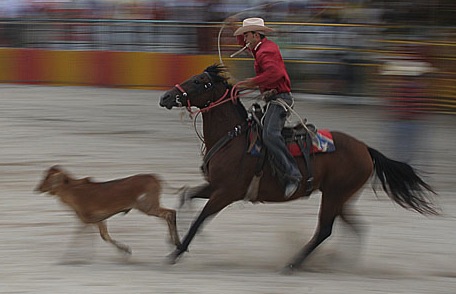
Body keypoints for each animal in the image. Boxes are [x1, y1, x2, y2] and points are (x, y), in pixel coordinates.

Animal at [34, 165, 181, 255]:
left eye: (48, 177)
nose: (38, 188)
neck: (71, 193)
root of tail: (154, 177)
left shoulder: (90, 218)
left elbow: (92, 236)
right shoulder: (97, 219)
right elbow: (105, 236)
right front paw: (125, 250)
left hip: (147, 206)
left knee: (170, 213)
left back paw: (177, 243)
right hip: (150, 206)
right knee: (169, 214)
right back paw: (173, 243)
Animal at [159, 64, 436, 274]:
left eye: (198, 81)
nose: (165, 97)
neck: (233, 138)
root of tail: (365, 149)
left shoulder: (226, 193)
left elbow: (200, 218)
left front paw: (176, 252)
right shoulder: (214, 186)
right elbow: (186, 196)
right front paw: (178, 241)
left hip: (334, 195)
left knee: (324, 230)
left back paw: (293, 264)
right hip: (340, 197)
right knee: (356, 226)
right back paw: (339, 262)